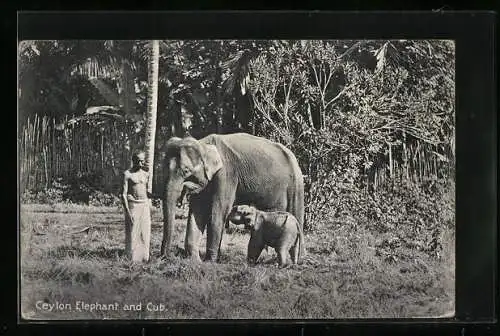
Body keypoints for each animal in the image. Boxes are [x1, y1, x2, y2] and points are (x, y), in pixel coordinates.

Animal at [159, 132, 304, 262]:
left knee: (296, 213)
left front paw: (209, 261)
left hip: (295, 183)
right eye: (163, 169)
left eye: (186, 171)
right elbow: (197, 211)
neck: (203, 144)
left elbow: (218, 212)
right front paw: (194, 261)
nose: (167, 257)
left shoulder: (226, 174)